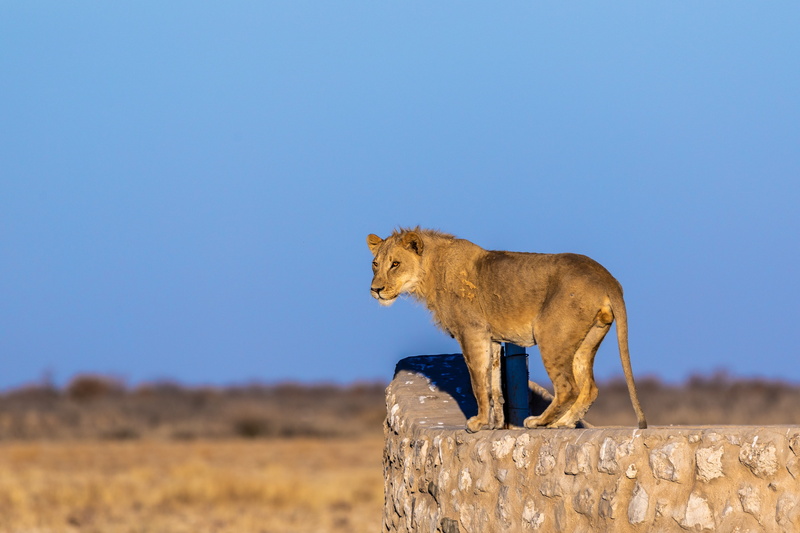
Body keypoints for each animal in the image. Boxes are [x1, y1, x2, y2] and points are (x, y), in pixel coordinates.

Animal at [367, 227, 647, 432]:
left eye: (395, 264)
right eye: (375, 264)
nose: (375, 289)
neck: (431, 271)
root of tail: (606, 277)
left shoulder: (472, 332)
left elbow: (477, 382)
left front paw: (478, 423)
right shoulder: (491, 338)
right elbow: (494, 385)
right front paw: (495, 424)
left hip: (551, 334)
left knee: (568, 387)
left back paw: (540, 422)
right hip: (586, 340)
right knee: (589, 387)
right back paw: (562, 423)